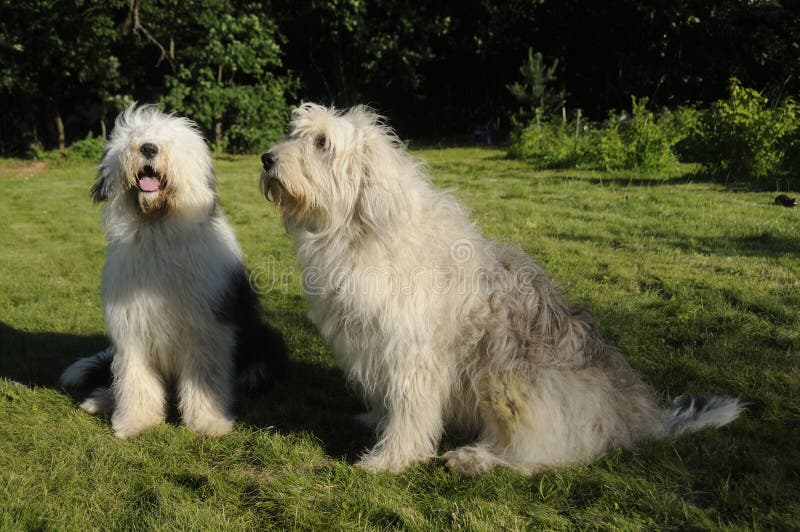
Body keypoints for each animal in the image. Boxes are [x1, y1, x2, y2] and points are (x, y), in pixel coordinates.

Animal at [61, 103, 288, 436]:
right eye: (134, 136)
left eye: (169, 139)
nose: (148, 148)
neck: (159, 228)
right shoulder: (133, 325)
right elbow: (135, 378)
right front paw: (135, 422)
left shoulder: (206, 327)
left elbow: (204, 377)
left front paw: (209, 423)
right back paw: (99, 400)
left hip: (266, 339)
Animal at [260, 103, 744, 474]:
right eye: (296, 132)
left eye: (322, 143)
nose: (266, 158)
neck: (361, 229)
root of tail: (632, 413)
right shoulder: (374, 345)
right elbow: (387, 399)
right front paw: (375, 420)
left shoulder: (414, 355)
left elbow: (412, 411)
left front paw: (389, 461)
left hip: (509, 382)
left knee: (540, 454)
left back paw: (474, 459)